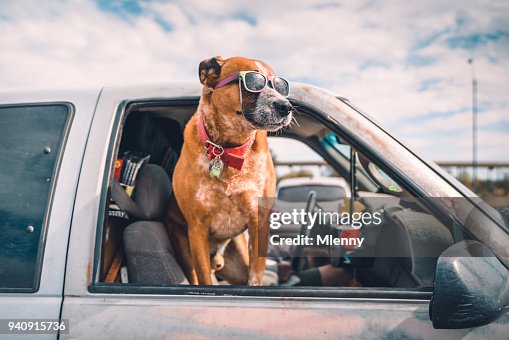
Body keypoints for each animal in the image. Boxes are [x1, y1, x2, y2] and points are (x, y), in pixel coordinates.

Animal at [166, 57, 292, 286]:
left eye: (280, 87)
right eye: (253, 82)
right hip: (184, 248)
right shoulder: (197, 229)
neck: (228, 151)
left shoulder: (259, 222)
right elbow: (205, 281)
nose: (286, 106)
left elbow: (255, 276)